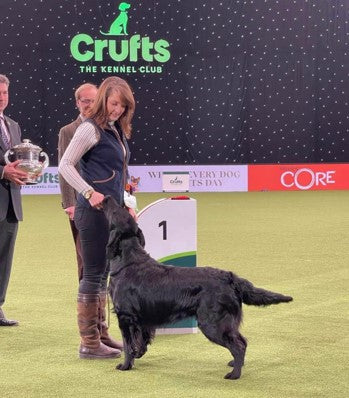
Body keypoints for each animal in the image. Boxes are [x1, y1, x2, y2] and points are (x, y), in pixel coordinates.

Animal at [102, 196, 290, 380]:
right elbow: (141, 340)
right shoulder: (143, 319)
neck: (127, 261)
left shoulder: (125, 316)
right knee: (242, 341)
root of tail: (230, 277)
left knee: (238, 345)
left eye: (114, 211)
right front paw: (138, 354)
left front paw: (125, 365)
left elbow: (128, 345)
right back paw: (235, 364)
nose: (107, 198)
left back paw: (234, 374)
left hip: (212, 322)